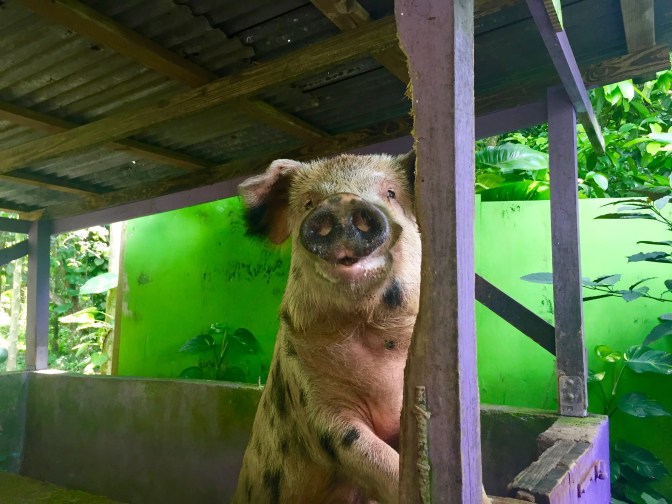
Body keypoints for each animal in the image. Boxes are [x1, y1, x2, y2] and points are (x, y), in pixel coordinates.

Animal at [232, 153, 490, 504]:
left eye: (391, 193)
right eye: (309, 202)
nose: (342, 201)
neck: (372, 333)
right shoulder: (311, 397)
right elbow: (364, 450)